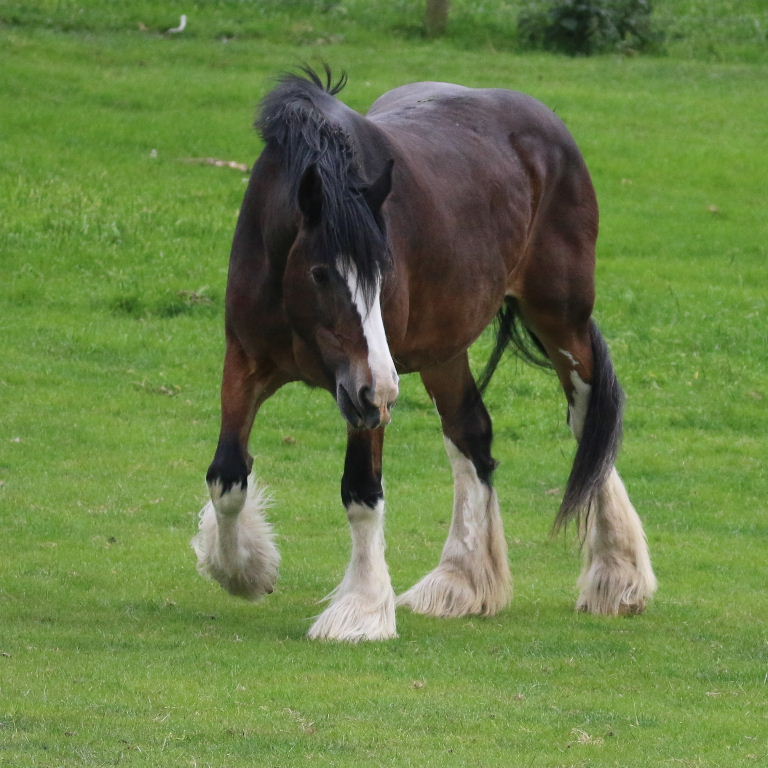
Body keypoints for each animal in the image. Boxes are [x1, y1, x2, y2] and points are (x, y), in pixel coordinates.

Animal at [192, 66, 657, 641]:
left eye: (384, 271)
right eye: (321, 273)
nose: (381, 388)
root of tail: (546, 124)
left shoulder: (366, 397)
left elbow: (361, 490)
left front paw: (362, 608)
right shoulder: (247, 363)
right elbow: (227, 475)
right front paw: (244, 571)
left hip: (559, 320)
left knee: (589, 422)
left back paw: (618, 574)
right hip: (442, 351)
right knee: (471, 432)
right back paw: (462, 582)